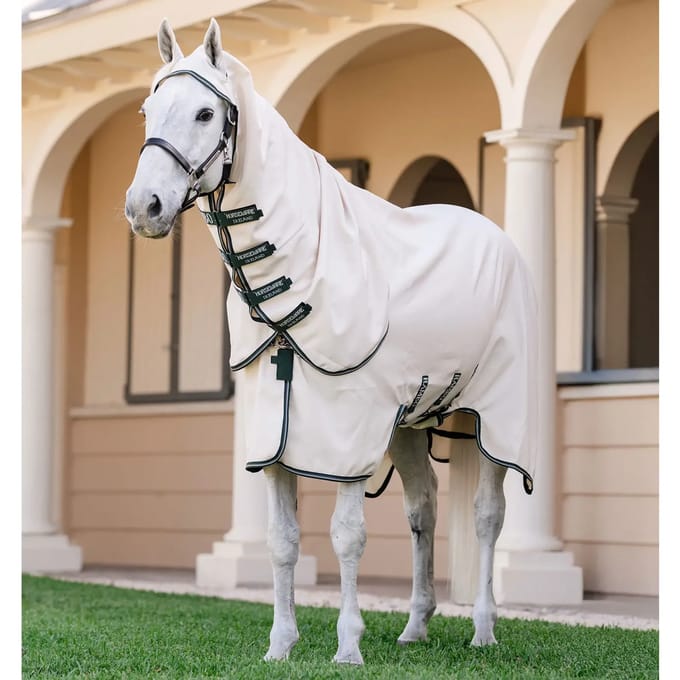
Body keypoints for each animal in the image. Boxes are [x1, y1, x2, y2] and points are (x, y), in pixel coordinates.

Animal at [125, 18, 538, 666]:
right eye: (146, 111)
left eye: (204, 113)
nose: (144, 208)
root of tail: (497, 236)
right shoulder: (274, 441)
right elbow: (281, 540)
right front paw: (281, 643)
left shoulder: (349, 436)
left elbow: (347, 536)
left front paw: (348, 645)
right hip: (408, 425)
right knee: (423, 509)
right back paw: (416, 625)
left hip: (496, 419)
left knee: (487, 516)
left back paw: (483, 628)